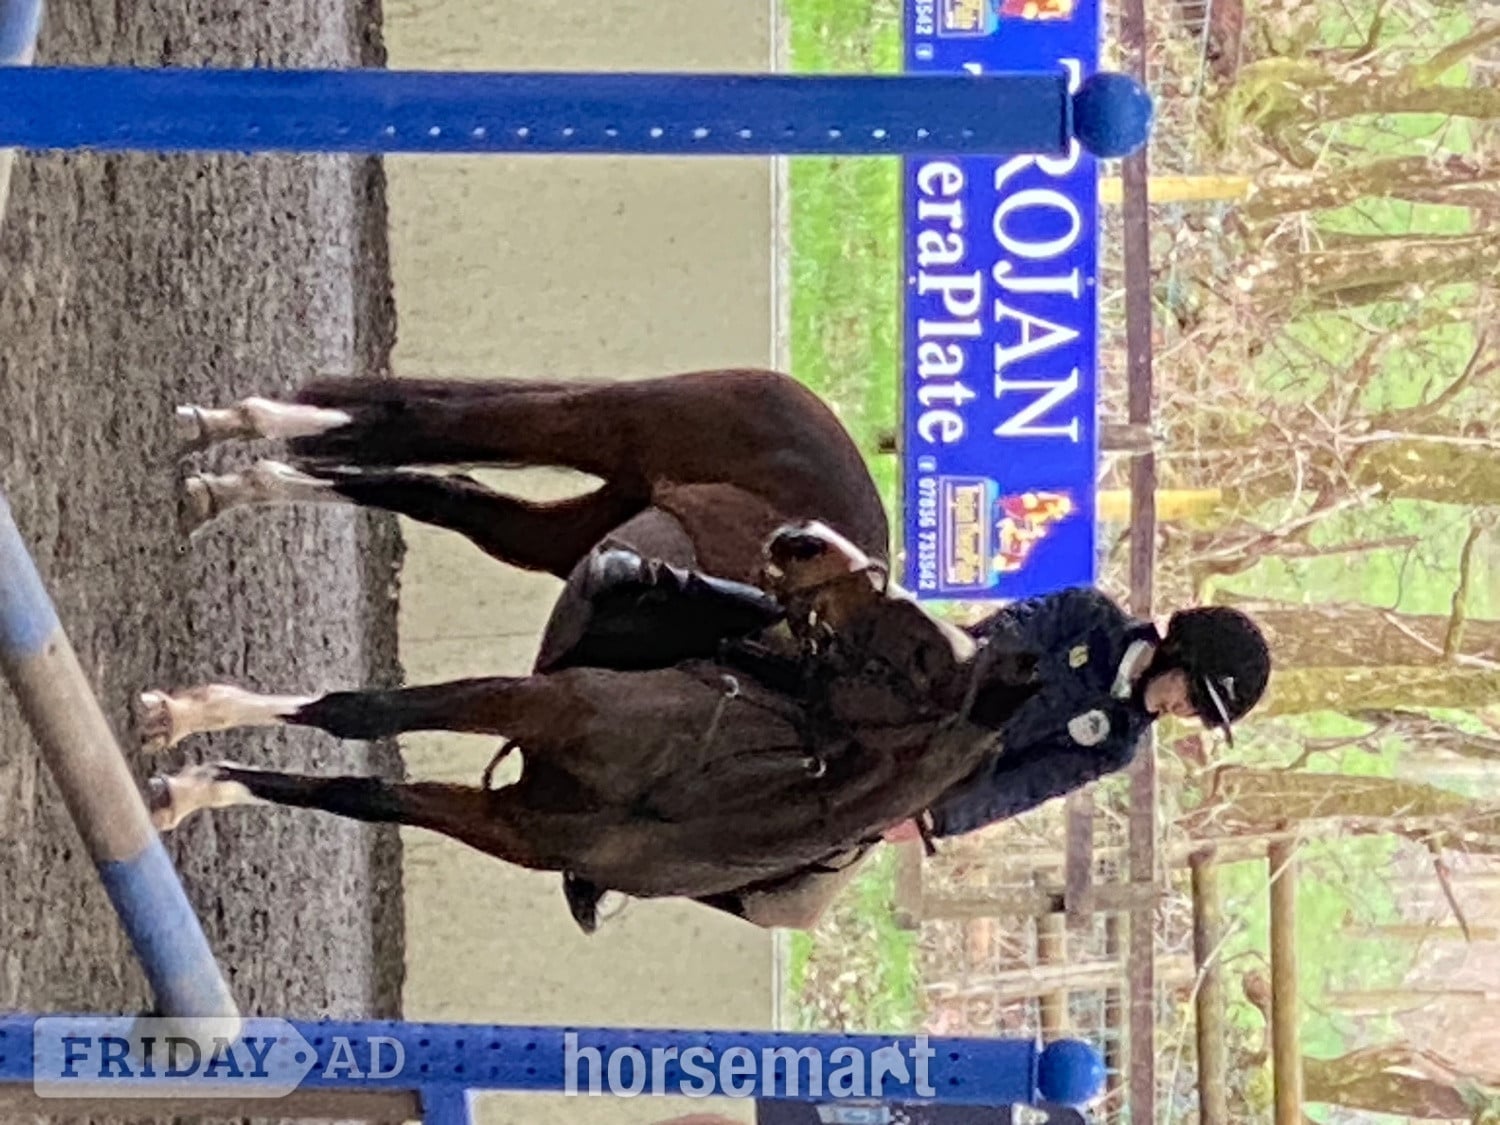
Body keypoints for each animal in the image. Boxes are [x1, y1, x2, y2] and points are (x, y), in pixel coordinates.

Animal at [140, 369, 1038, 927]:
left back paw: (234, 483)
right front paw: (185, 719)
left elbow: (353, 793)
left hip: (564, 528)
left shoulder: (502, 822)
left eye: (917, 653)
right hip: (598, 423)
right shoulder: (539, 702)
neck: (693, 792)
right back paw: (231, 429)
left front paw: (194, 784)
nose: (799, 541)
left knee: (439, 491)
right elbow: (361, 714)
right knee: (405, 426)